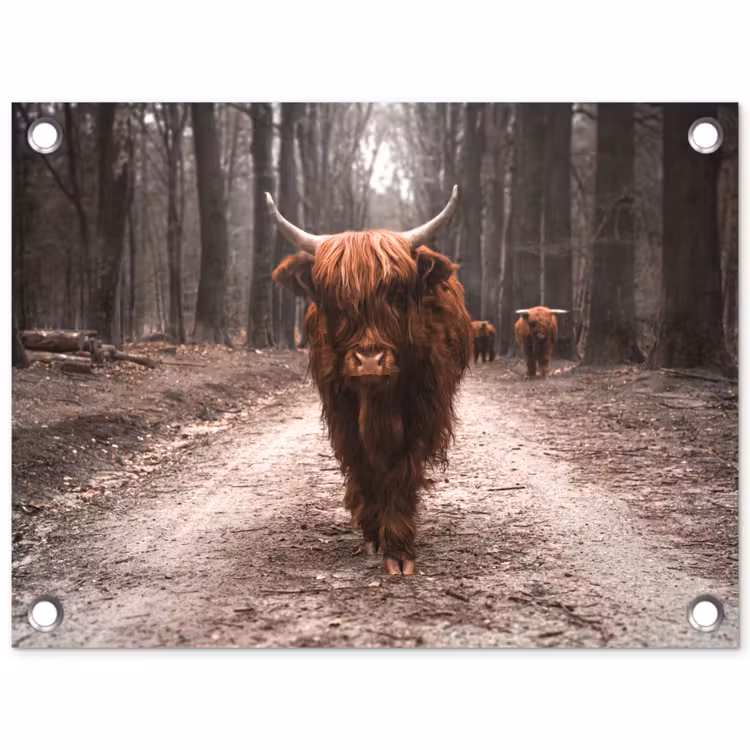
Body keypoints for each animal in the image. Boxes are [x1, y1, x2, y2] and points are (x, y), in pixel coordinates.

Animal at [268, 186, 473, 575]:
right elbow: (362, 466)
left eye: (396, 294)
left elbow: (402, 471)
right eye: (334, 300)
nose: (369, 362)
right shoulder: (342, 413)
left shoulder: (424, 412)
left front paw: (399, 549)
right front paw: (373, 533)